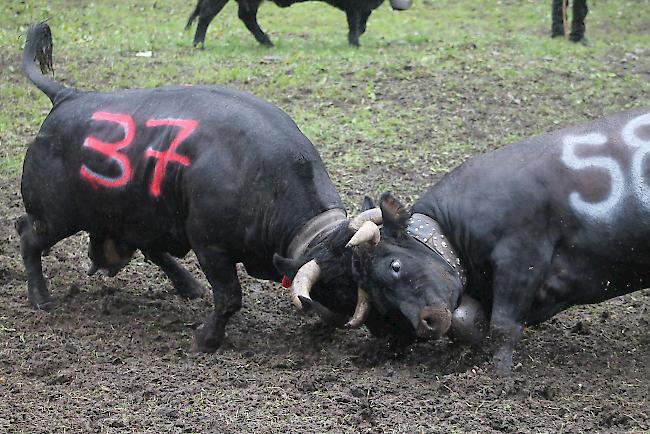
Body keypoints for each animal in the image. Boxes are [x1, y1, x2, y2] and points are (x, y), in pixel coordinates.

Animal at [19, 22, 450, 350]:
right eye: (356, 286)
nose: (418, 327)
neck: (265, 180)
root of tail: (68, 97)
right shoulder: (211, 247)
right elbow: (229, 298)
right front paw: (206, 339)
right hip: (56, 215)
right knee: (27, 236)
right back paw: (40, 298)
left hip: (139, 215)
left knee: (145, 246)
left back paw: (186, 285)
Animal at [352, 107, 648, 374]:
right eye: (379, 299)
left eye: (395, 265)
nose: (426, 323)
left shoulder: (520, 258)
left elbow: (503, 326)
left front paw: (498, 376)